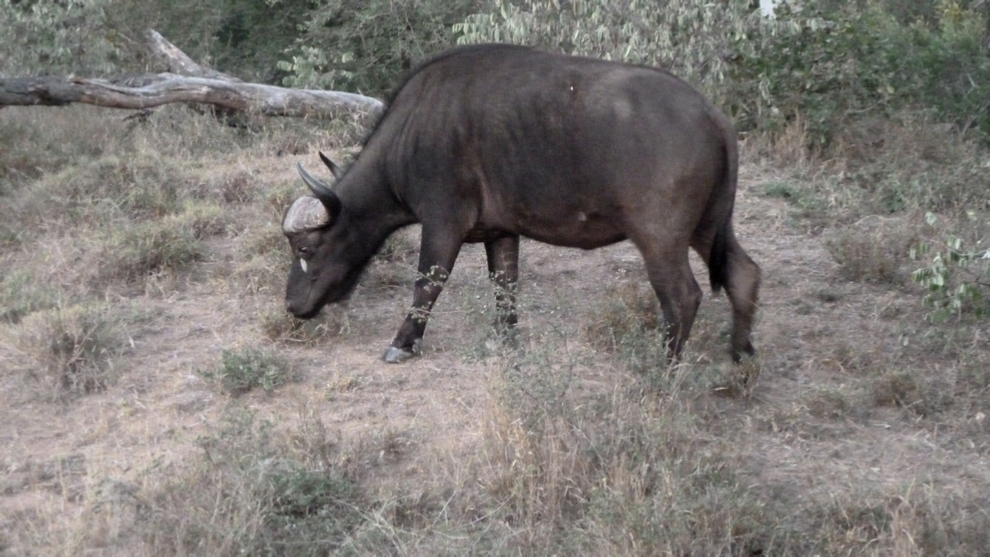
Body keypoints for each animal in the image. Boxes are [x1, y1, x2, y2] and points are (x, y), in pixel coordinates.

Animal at [282, 44, 764, 364]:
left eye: (305, 248)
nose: (291, 306)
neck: (414, 128)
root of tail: (711, 115)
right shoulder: (501, 232)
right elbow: (505, 285)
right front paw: (504, 338)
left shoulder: (443, 223)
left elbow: (427, 284)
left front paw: (403, 342)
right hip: (708, 226)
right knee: (744, 273)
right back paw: (740, 356)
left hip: (660, 238)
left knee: (682, 297)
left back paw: (664, 365)